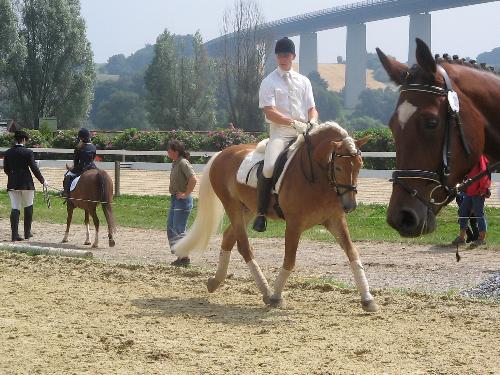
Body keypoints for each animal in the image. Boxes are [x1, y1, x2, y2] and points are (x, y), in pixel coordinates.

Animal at [174, 122, 376, 312]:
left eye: (360, 165)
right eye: (339, 167)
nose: (350, 206)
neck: (318, 178)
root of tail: (222, 153)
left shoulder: (335, 220)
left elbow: (352, 253)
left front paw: (367, 299)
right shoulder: (294, 224)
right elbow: (290, 260)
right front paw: (276, 297)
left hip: (248, 209)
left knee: (229, 237)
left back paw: (215, 281)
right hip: (232, 206)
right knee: (244, 247)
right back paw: (266, 291)